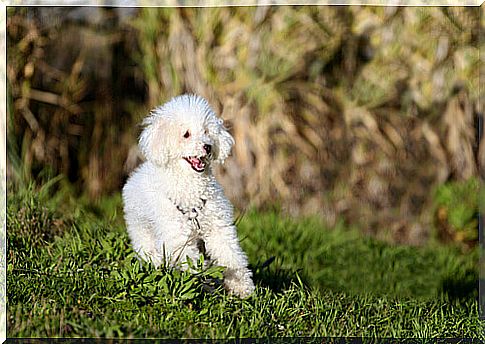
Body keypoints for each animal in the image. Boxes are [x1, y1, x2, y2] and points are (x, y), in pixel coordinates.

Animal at [121, 94, 255, 298]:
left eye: (207, 132)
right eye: (186, 134)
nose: (208, 146)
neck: (191, 186)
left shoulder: (218, 227)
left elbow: (231, 256)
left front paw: (240, 285)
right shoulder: (177, 237)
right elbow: (191, 262)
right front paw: (204, 278)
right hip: (141, 230)